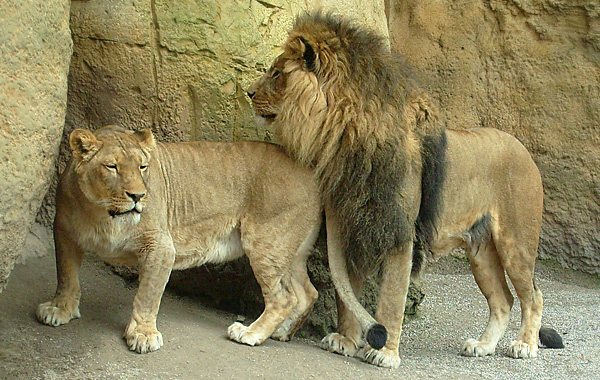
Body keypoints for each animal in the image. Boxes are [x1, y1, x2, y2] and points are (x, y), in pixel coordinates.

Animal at [35, 124, 322, 354]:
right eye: (112, 167)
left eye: (142, 167)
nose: (138, 196)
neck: (103, 215)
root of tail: (309, 169)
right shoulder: (64, 230)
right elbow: (66, 275)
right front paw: (60, 309)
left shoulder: (161, 247)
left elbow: (148, 295)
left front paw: (143, 334)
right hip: (289, 251)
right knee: (306, 292)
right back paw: (281, 332)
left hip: (267, 243)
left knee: (283, 299)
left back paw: (251, 333)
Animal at [247, 11, 564, 368]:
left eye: (276, 74)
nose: (248, 92)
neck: (349, 134)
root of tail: (523, 149)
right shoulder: (353, 226)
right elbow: (347, 291)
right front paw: (345, 339)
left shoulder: (401, 233)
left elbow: (391, 297)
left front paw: (385, 351)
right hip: (480, 250)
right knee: (503, 299)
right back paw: (482, 345)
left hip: (516, 242)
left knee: (533, 295)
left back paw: (524, 345)